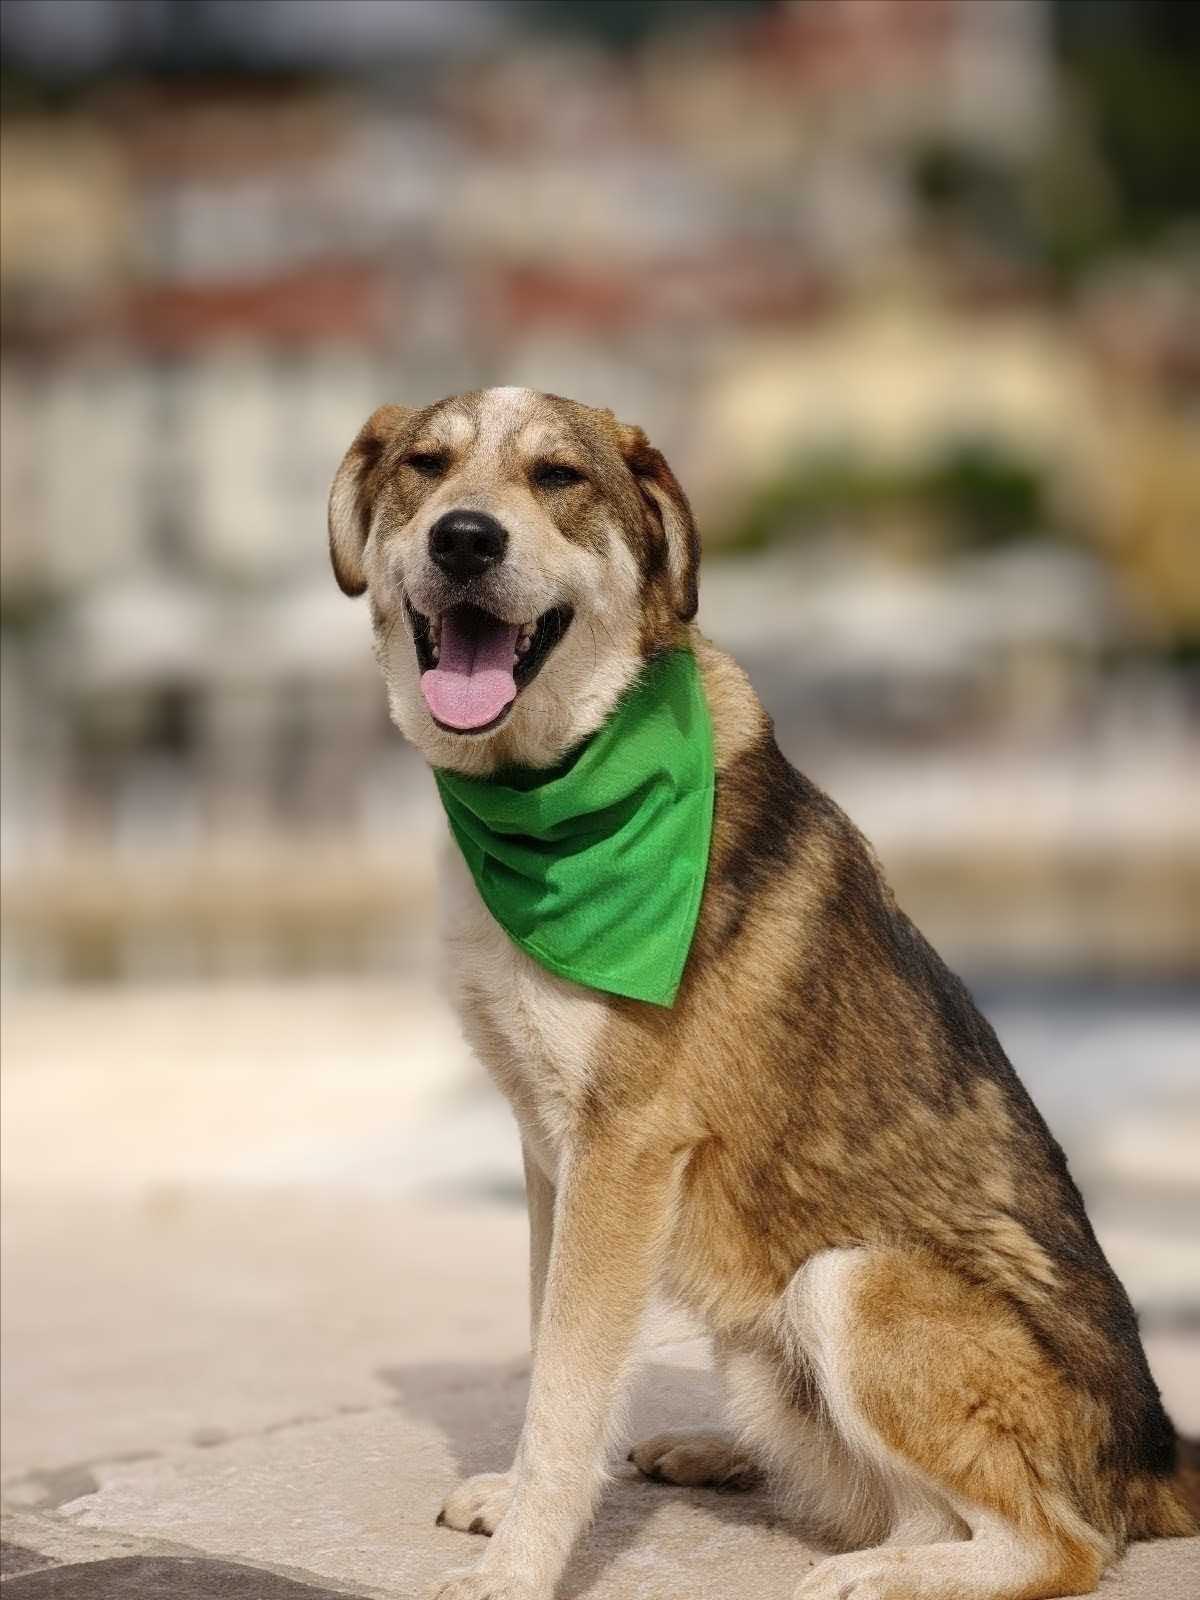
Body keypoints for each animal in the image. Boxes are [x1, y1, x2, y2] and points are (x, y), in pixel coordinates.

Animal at [329, 387, 1198, 1600]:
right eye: (426, 464)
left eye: (559, 477)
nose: (465, 538)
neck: (554, 788)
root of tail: (1158, 1454)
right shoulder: (549, 1142)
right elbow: (553, 1345)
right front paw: (516, 1502)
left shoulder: (623, 1148)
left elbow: (568, 1383)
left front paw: (520, 1567)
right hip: (767, 1333)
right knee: (898, 1498)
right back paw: (733, 1461)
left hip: (854, 1282)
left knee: (1055, 1541)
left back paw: (876, 1574)